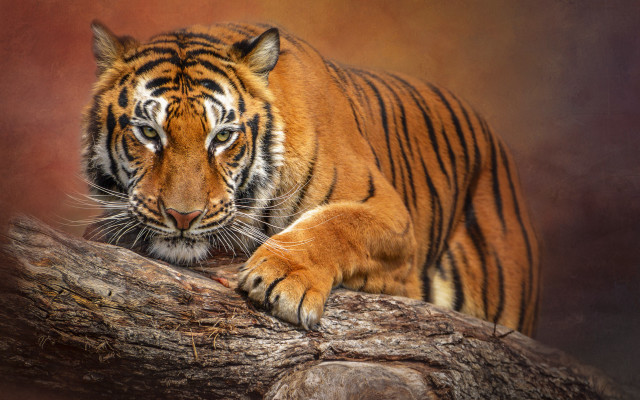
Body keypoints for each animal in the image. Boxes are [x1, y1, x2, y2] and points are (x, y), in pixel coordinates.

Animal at [83, 21, 540, 335]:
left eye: (222, 136)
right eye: (148, 132)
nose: (183, 217)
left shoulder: (391, 216)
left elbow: (335, 224)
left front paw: (283, 280)